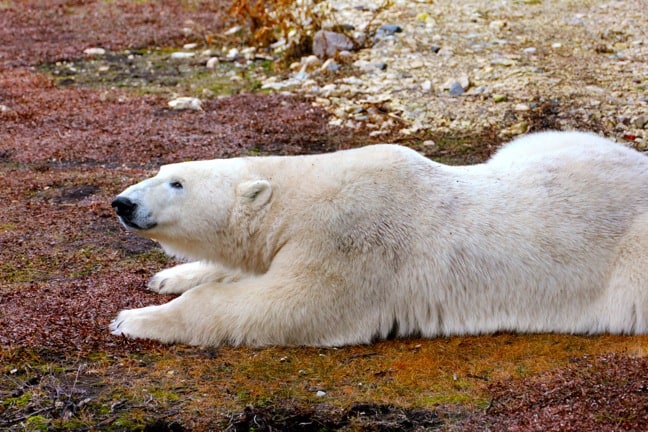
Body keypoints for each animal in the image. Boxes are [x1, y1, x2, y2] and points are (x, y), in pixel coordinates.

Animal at [111, 132, 648, 348]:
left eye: (177, 183)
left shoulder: (352, 243)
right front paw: (168, 277)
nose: (122, 203)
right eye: (162, 169)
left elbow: (288, 305)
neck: (303, 195)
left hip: (633, 258)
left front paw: (133, 319)